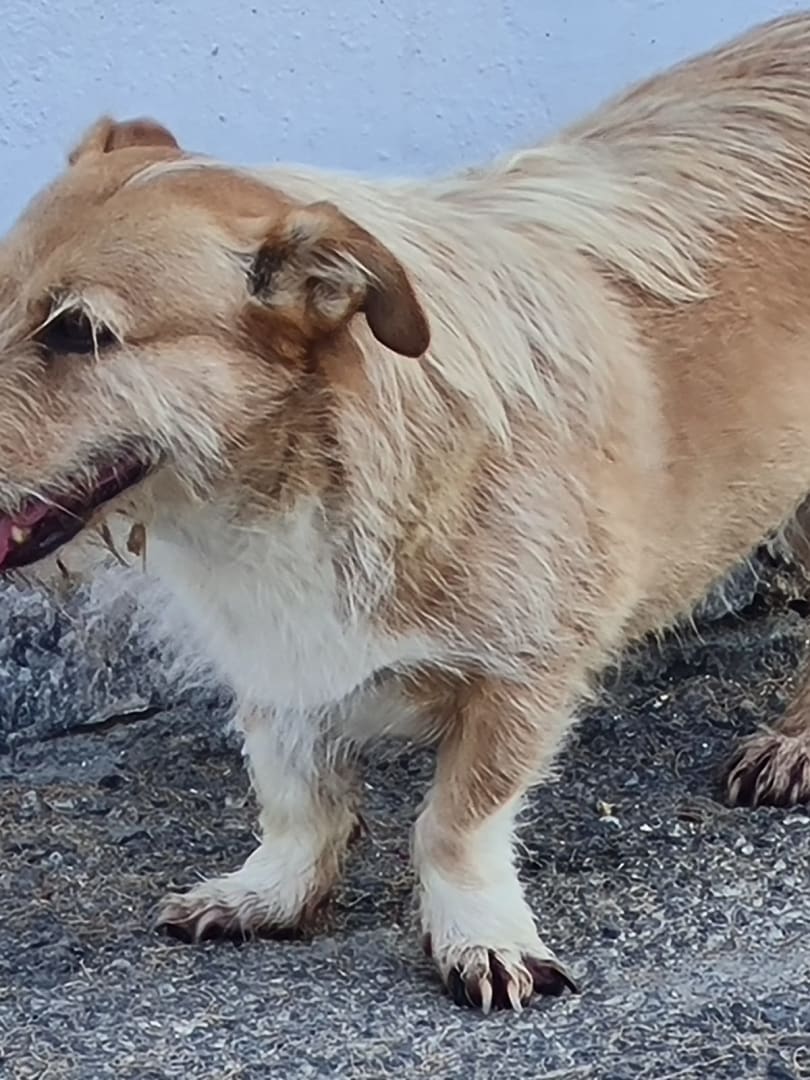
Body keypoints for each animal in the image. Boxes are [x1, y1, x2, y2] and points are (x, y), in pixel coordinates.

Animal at [1, 11, 810, 1014]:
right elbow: (294, 792)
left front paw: (480, 934)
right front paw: (274, 890)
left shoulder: (527, 671)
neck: (289, 479)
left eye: (78, 331)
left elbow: (455, 822)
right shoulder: (276, 660)